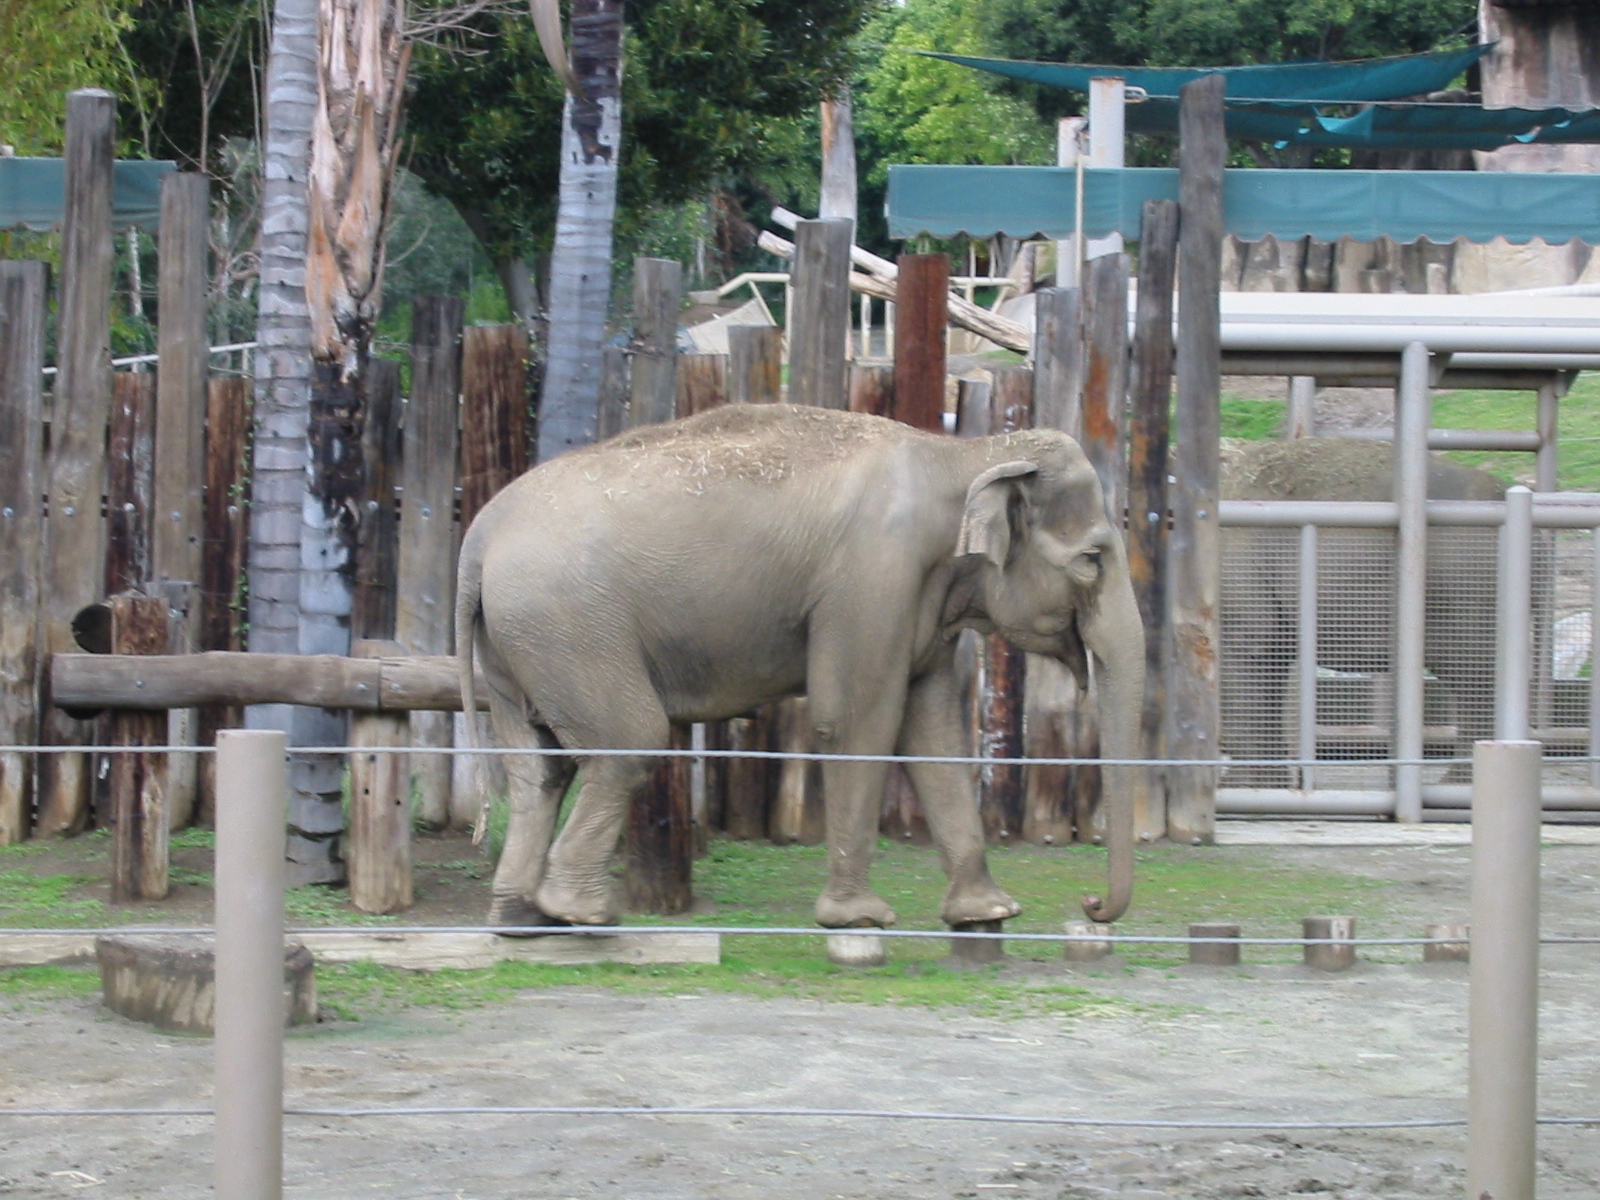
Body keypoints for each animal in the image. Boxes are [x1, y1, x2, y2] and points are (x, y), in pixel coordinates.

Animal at [455, 404, 1146, 931]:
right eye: (1093, 560)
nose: (1089, 903)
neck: (965, 454)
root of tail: (479, 536)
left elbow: (935, 729)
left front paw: (987, 914)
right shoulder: (874, 575)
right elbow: (858, 721)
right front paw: (861, 920)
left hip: (519, 642)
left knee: (539, 768)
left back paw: (521, 920)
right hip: (568, 625)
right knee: (631, 739)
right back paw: (581, 914)